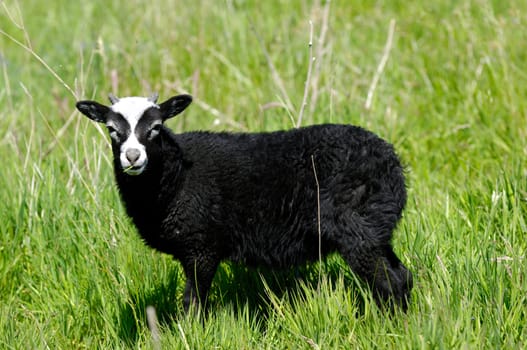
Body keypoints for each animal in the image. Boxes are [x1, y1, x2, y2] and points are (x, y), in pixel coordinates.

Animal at [75, 93, 412, 312]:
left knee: (389, 283)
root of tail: (393, 162)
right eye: (112, 130)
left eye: (155, 128)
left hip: (358, 230)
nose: (133, 157)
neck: (175, 177)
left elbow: (193, 304)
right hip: (376, 228)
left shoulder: (201, 247)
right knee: (403, 276)